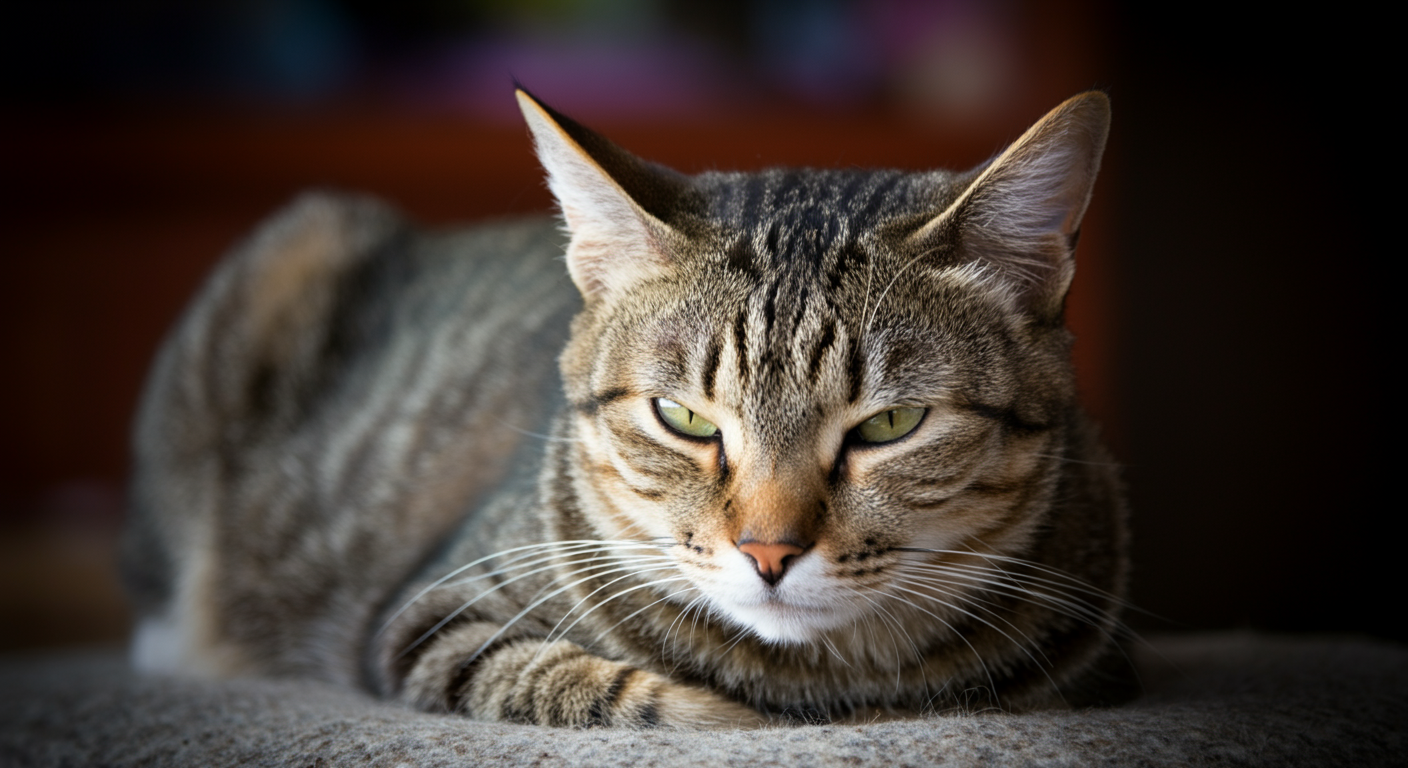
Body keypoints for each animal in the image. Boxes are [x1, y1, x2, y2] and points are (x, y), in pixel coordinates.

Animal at [121, 88, 1132, 727]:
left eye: (889, 426)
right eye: (684, 420)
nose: (768, 553)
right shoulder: (430, 618)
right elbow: (587, 684)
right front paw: (720, 714)